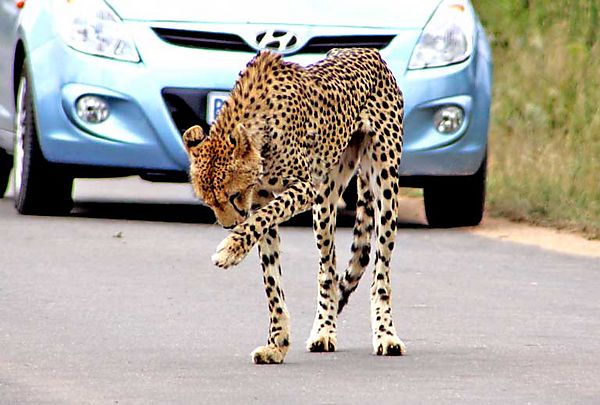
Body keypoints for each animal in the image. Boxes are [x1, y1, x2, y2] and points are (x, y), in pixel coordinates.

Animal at [184, 47, 408, 362]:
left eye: (233, 195)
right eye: (209, 202)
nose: (229, 225)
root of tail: (367, 50)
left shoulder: (303, 189)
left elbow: (259, 221)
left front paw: (230, 249)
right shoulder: (267, 200)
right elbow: (271, 278)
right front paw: (276, 344)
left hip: (384, 185)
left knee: (381, 272)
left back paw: (386, 335)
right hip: (326, 202)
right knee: (328, 270)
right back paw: (324, 331)